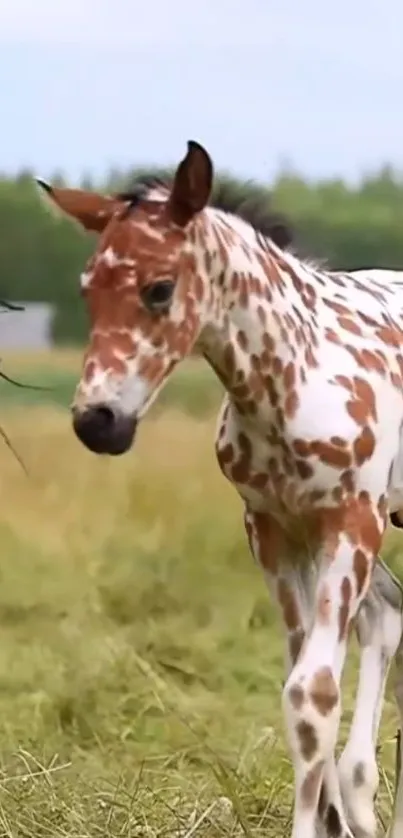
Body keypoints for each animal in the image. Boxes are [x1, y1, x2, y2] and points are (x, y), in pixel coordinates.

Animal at [34, 141, 403, 836]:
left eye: (159, 288)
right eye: (88, 291)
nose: (98, 421)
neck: (296, 376)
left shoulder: (354, 520)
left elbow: (313, 691)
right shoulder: (274, 528)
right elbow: (300, 684)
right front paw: (331, 820)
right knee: (387, 616)